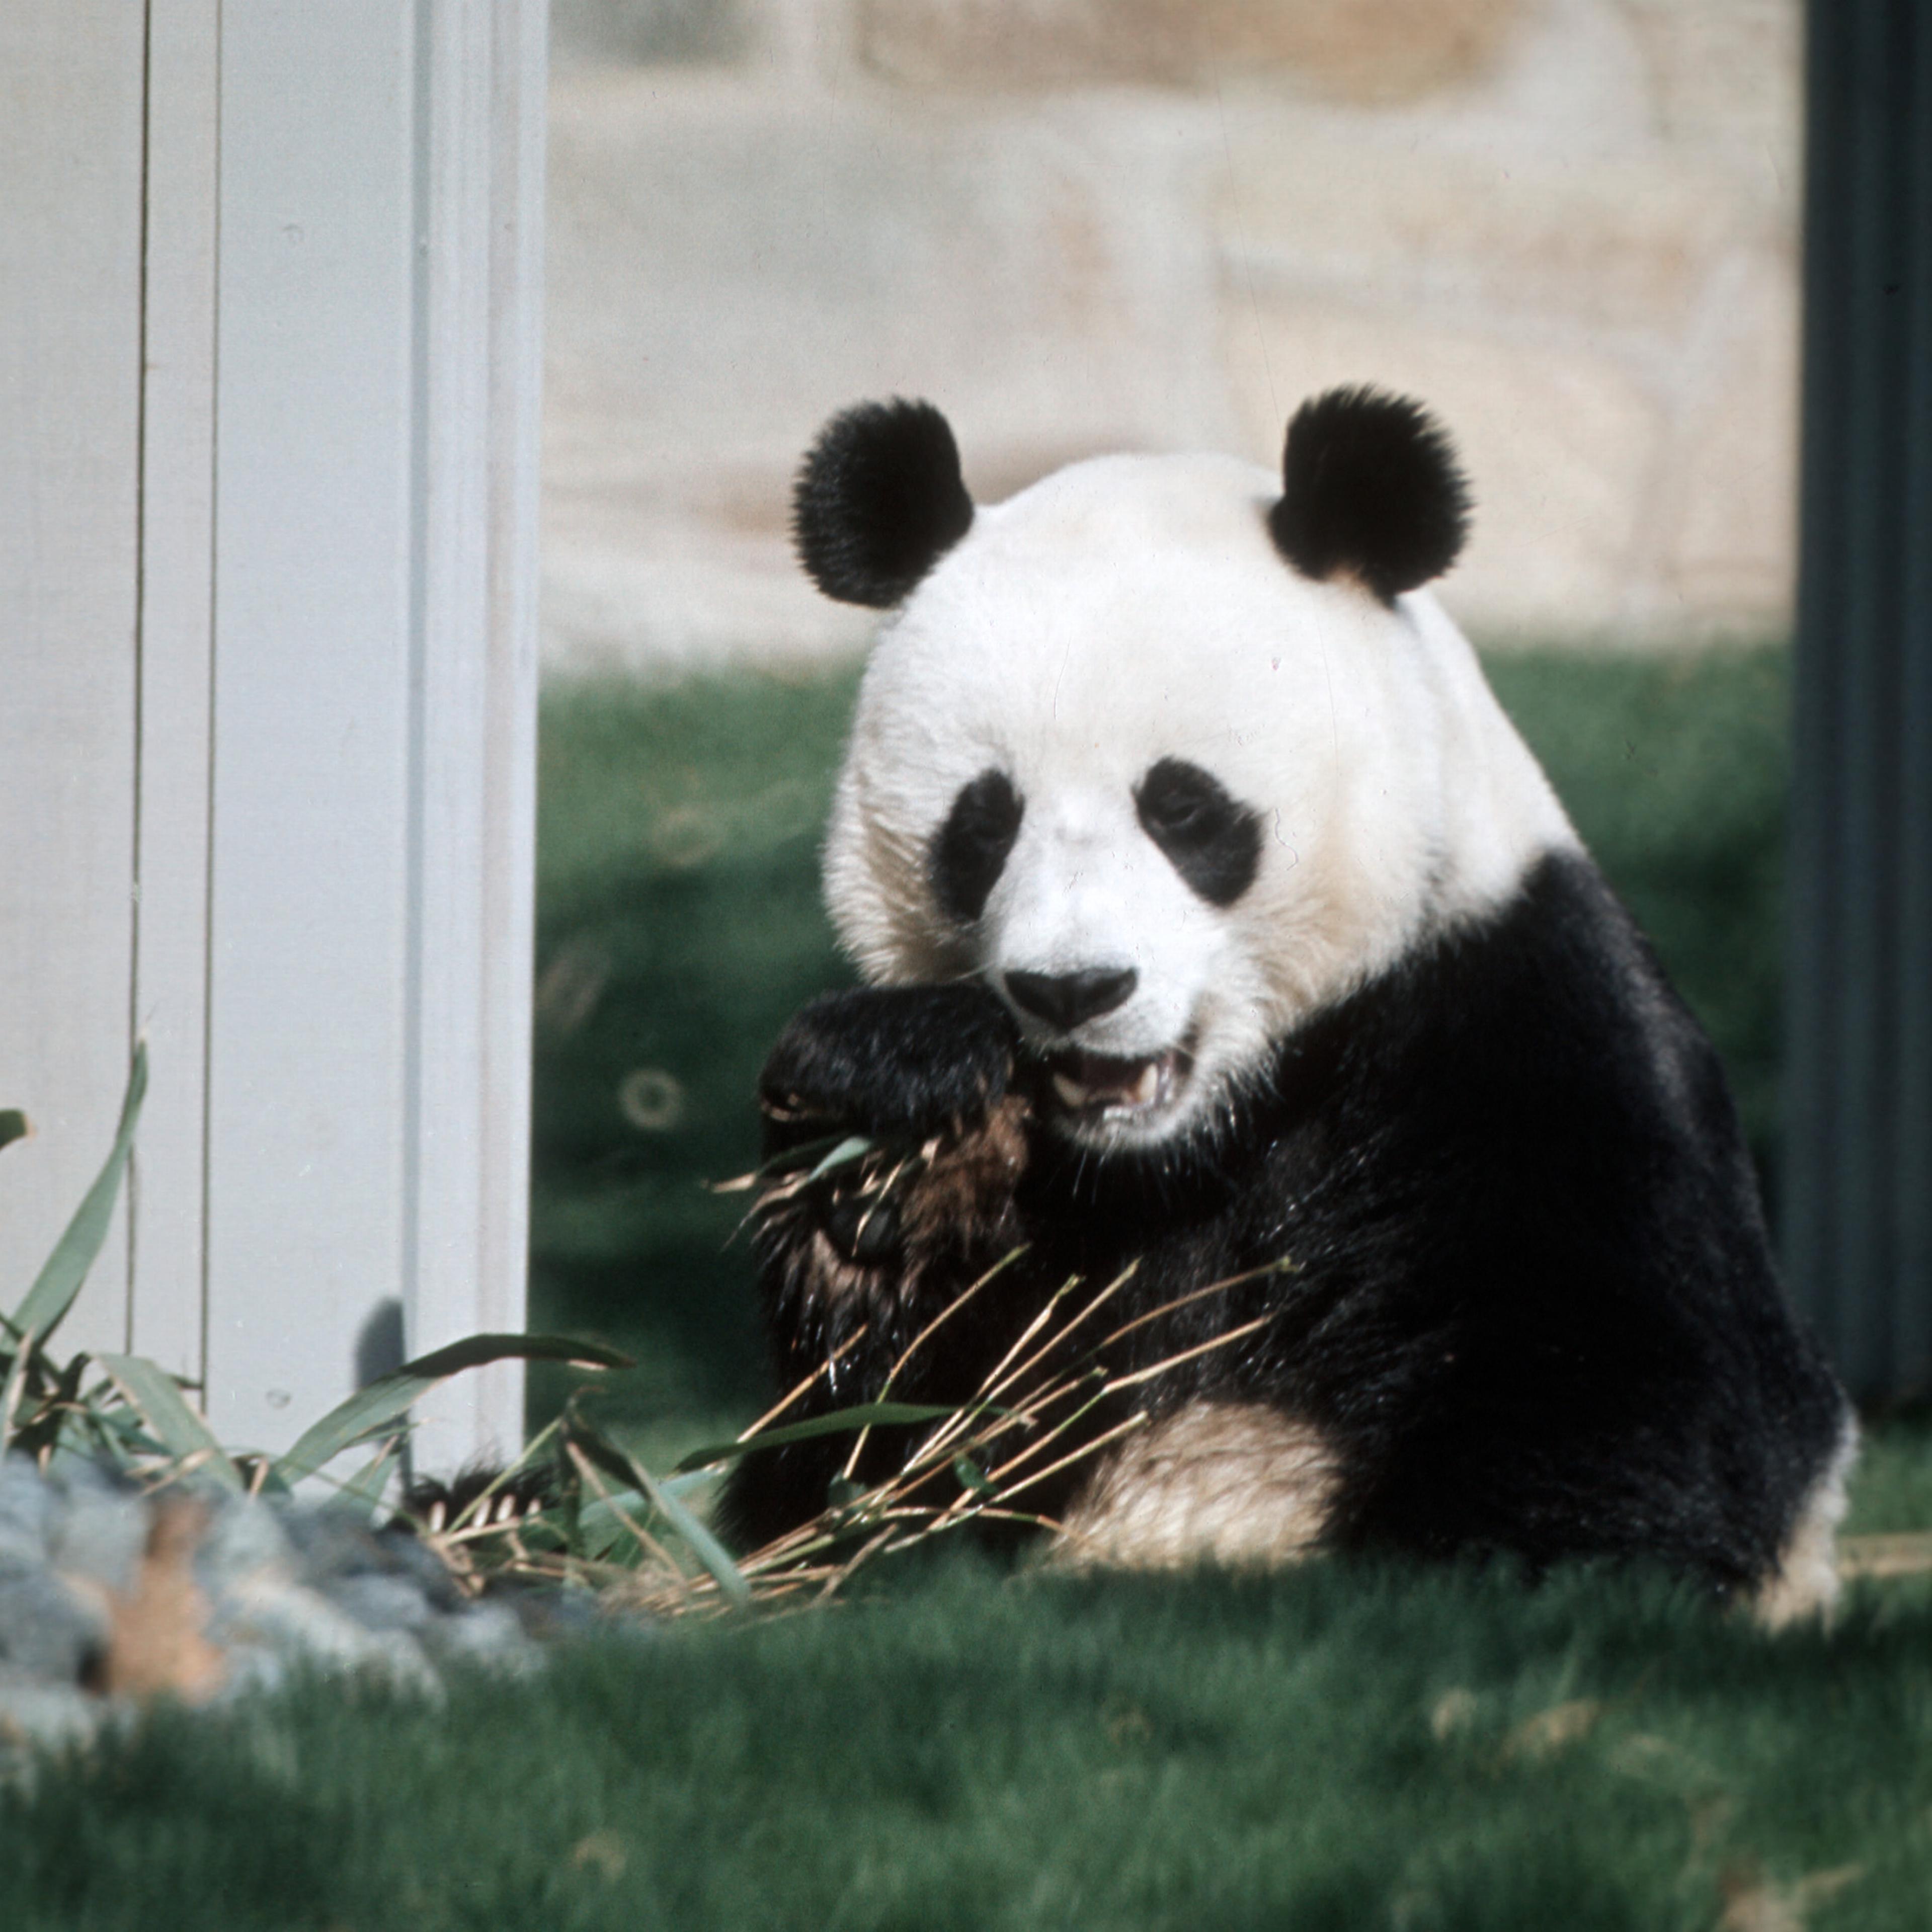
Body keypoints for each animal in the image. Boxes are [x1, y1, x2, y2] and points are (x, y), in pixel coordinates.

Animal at [720, 387, 1856, 1622]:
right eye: (983, 823)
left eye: (1182, 809)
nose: (1074, 989)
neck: (1183, 1143)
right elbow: (850, 1486)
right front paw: (902, 1137)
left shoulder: (1516, 1031)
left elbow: (1630, 1417)